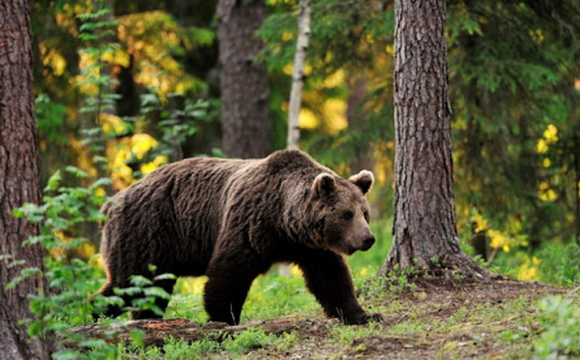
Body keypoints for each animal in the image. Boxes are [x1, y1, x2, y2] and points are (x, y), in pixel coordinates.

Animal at [98, 150, 382, 324]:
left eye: (365, 213)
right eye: (346, 214)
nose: (368, 239)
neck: (284, 221)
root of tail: (112, 203)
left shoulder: (311, 247)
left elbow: (331, 279)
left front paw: (363, 315)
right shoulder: (250, 223)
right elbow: (229, 272)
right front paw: (223, 317)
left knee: (150, 290)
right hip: (147, 232)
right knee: (128, 284)